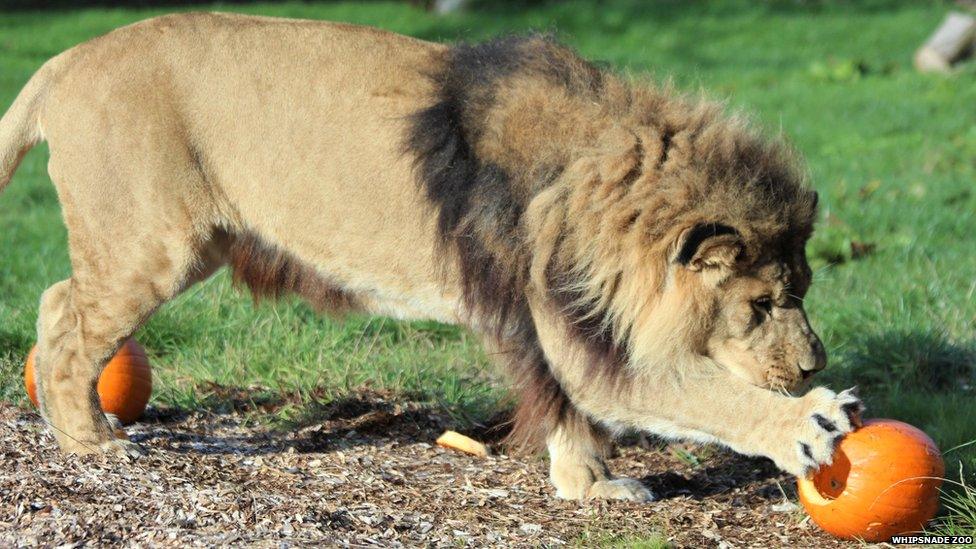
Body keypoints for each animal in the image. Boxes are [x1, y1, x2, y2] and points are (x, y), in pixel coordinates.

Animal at [0, 12, 860, 500]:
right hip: (152, 242)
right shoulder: (569, 332)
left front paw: (589, 487)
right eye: (759, 304)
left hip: (183, 242)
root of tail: (64, 61)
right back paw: (91, 441)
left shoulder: (549, 329)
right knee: (68, 325)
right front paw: (808, 423)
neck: (596, 174)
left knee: (54, 302)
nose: (813, 363)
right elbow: (697, 393)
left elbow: (572, 416)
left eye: (804, 289)